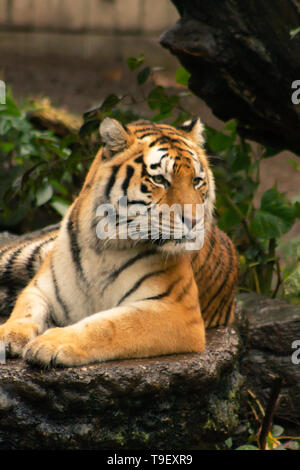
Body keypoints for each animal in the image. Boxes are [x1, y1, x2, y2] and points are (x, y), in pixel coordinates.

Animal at [0, 117, 239, 368]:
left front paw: (53, 342)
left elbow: (107, 325)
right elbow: (25, 311)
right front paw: (8, 334)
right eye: (159, 180)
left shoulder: (177, 309)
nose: (195, 221)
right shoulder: (40, 289)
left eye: (197, 181)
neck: (102, 246)